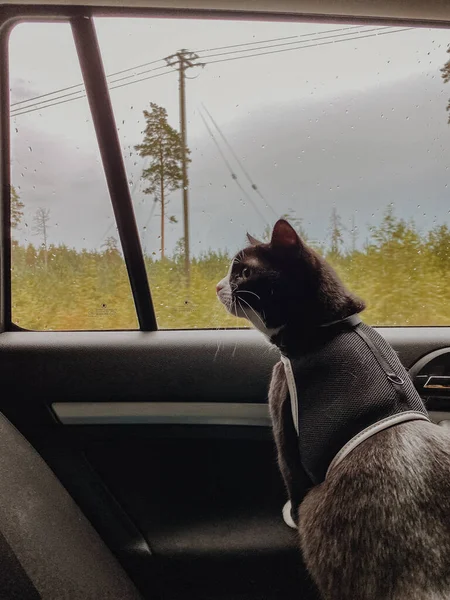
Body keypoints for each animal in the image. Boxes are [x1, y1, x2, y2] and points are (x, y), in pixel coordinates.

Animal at [216, 219, 450, 600]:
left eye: (244, 271)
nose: (218, 285)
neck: (324, 328)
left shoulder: (282, 409)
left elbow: (291, 473)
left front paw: (290, 514)